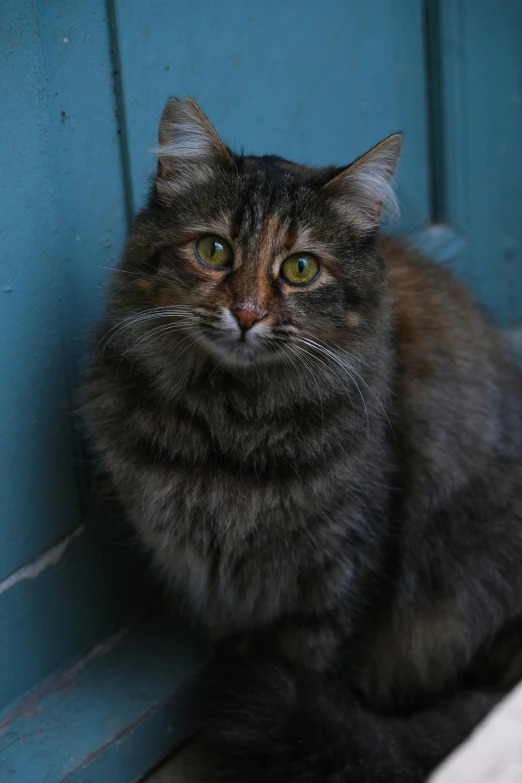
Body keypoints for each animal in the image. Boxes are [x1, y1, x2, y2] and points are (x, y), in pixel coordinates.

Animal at [81, 99, 520, 783]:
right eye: (213, 250)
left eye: (301, 268)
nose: (248, 313)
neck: (231, 432)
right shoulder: (218, 583)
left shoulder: (338, 576)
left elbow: (310, 684)